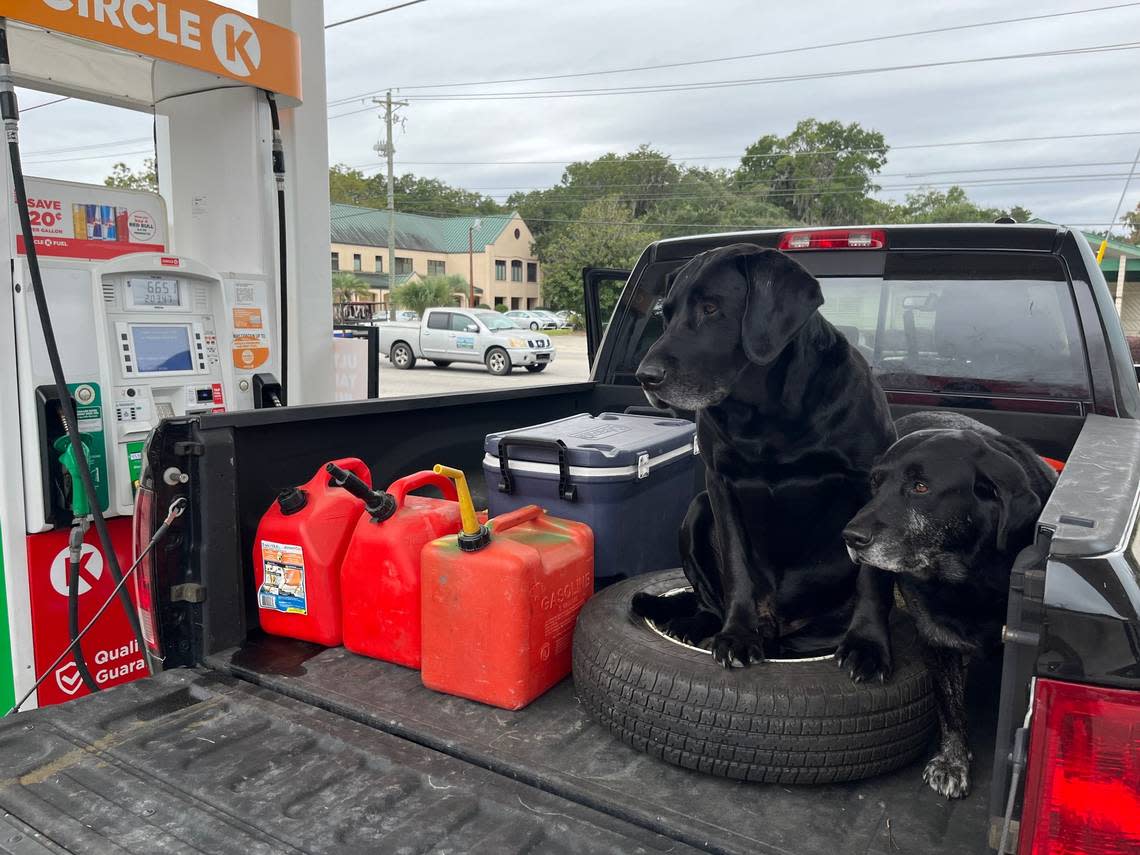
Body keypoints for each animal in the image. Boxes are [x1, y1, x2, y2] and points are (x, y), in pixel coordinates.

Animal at [843, 412, 1053, 802]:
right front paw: (953, 760)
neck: (968, 574)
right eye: (876, 484)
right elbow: (949, 706)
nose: (850, 537)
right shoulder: (936, 638)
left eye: (921, 487)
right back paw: (866, 647)